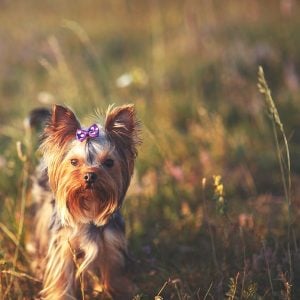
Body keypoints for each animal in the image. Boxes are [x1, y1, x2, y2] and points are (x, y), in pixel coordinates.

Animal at [29, 104, 141, 298]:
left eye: (109, 162)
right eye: (74, 162)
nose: (89, 176)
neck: (90, 205)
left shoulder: (111, 243)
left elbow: (112, 272)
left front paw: (115, 291)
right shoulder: (63, 245)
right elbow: (62, 276)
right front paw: (60, 296)